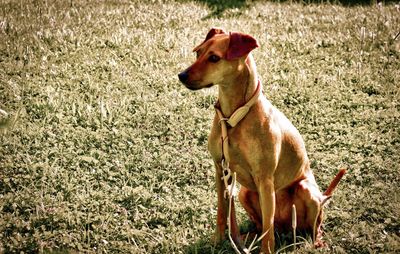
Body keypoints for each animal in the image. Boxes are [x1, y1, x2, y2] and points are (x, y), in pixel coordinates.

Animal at [178, 26, 344, 253]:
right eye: (198, 53)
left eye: (214, 58)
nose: (181, 75)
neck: (233, 117)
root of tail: (286, 229)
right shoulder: (220, 170)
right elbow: (222, 211)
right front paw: (217, 241)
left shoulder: (265, 179)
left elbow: (268, 229)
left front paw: (265, 250)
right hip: (244, 193)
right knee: (261, 225)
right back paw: (246, 237)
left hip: (307, 191)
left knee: (308, 226)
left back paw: (315, 241)